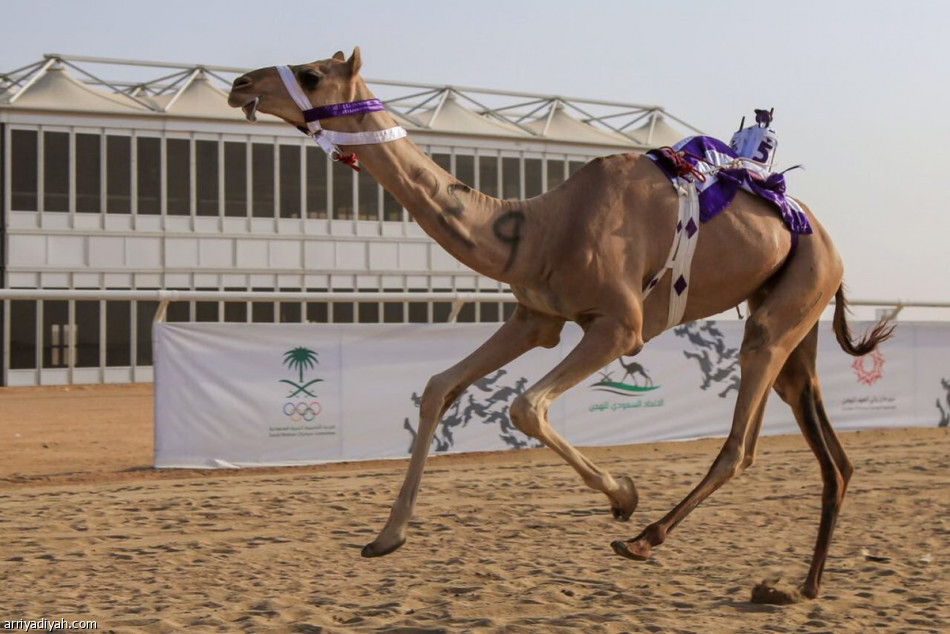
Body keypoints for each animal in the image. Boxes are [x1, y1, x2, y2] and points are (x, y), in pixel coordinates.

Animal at [227, 47, 896, 600]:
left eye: (312, 73)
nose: (239, 83)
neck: (539, 227)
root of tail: (826, 241)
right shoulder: (536, 317)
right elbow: (440, 386)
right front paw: (386, 536)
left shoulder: (621, 326)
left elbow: (525, 407)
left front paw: (623, 496)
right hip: (792, 321)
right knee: (829, 454)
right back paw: (800, 587)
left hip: (784, 310)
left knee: (741, 445)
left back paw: (644, 539)